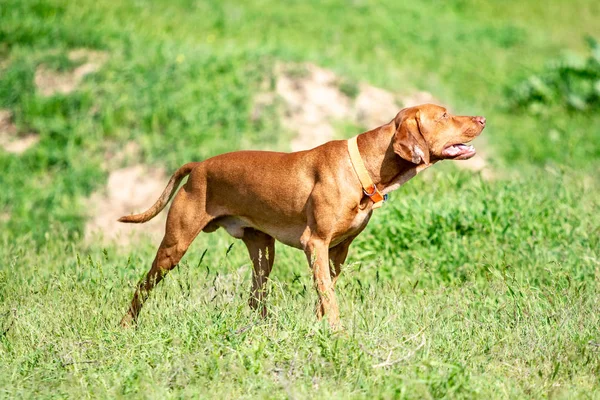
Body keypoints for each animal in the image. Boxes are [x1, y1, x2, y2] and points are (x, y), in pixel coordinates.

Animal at [118, 103, 488, 328]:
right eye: (443, 115)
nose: (482, 119)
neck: (363, 167)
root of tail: (198, 166)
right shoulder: (316, 243)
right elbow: (329, 296)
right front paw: (338, 333)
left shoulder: (338, 250)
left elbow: (325, 293)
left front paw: (320, 326)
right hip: (174, 247)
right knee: (142, 287)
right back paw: (126, 326)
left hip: (263, 252)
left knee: (255, 297)